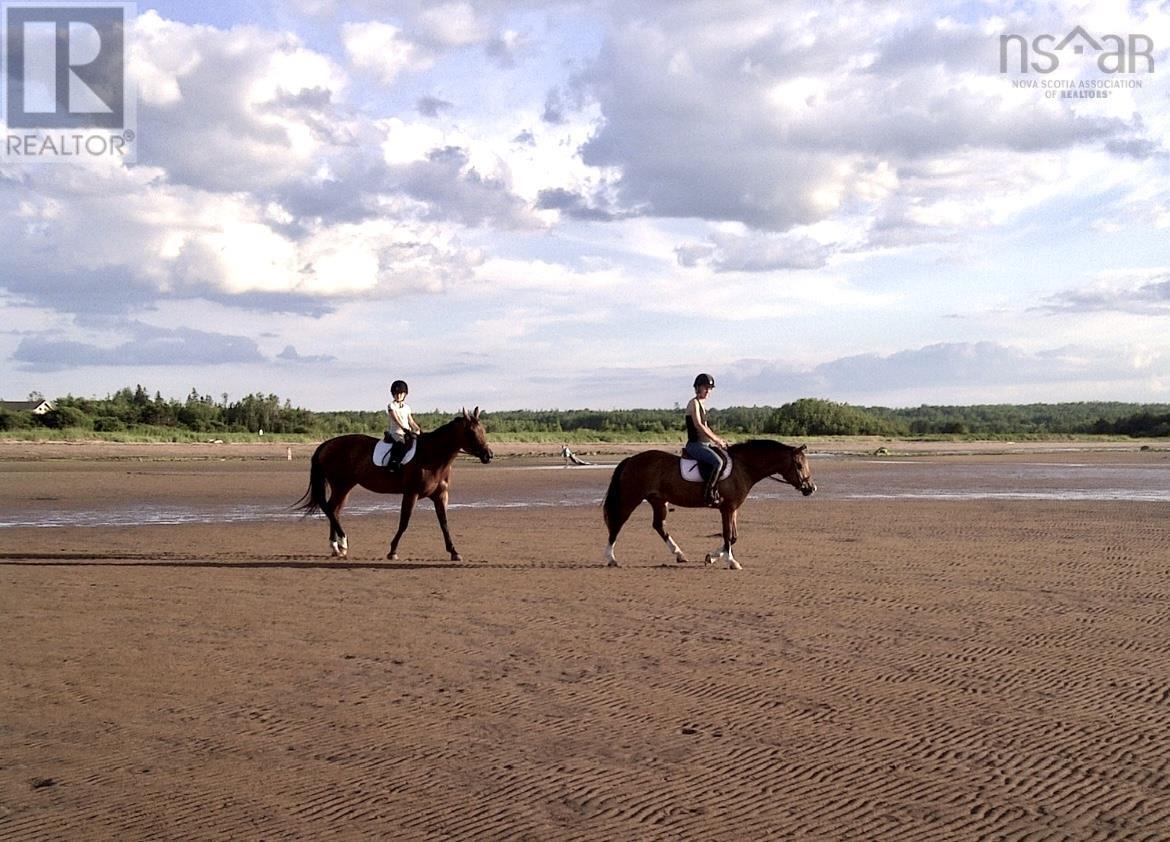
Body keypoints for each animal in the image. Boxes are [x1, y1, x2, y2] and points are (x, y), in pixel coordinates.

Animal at [297, 406, 493, 558]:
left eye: (483, 430)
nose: (488, 455)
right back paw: (342, 542)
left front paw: (454, 552)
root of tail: (326, 444)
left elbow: (444, 523)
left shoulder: (440, 496)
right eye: (471, 432)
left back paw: (337, 548)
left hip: (345, 487)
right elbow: (404, 522)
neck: (431, 457)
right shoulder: (411, 494)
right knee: (330, 509)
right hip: (341, 485)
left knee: (334, 510)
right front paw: (392, 551)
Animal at [603, 439, 814, 573]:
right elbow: (728, 535)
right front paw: (731, 562)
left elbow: (734, 537)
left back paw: (679, 554)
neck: (743, 467)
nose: (811, 488)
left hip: (658, 500)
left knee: (659, 526)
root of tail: (631, 459)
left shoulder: (733, 509)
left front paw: (711, 557)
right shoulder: (726, 508)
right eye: (799, 465)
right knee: (617, 523)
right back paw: (611, 558)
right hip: (631, 498)